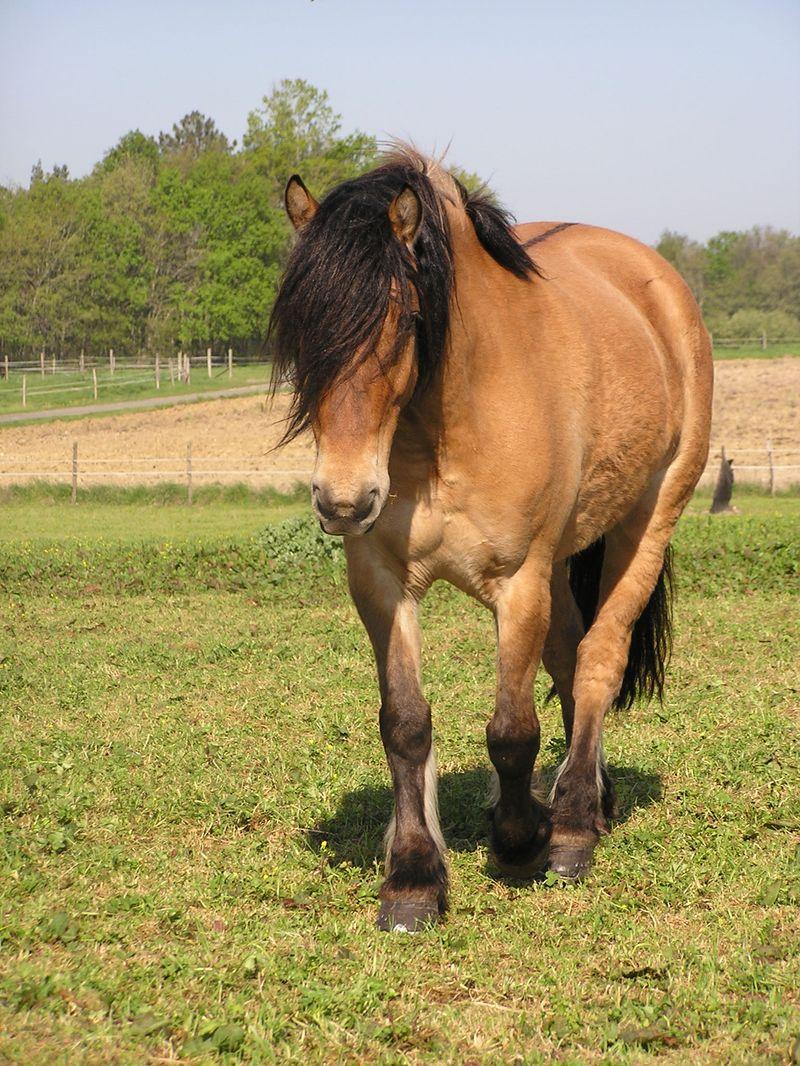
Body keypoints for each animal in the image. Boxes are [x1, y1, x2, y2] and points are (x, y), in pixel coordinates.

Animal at [269, 146, 712, 929]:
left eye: (404, 322)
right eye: (301, 334)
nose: (343, 499)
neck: (444, 428)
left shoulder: (520, 582)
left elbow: (510, 730)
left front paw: (519, 840)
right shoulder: (381, 583)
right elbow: (405, 724)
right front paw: (414, 878)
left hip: (647, 523)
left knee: (597, 660)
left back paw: (572, 828)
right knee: (568, 660)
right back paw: (589, 800)